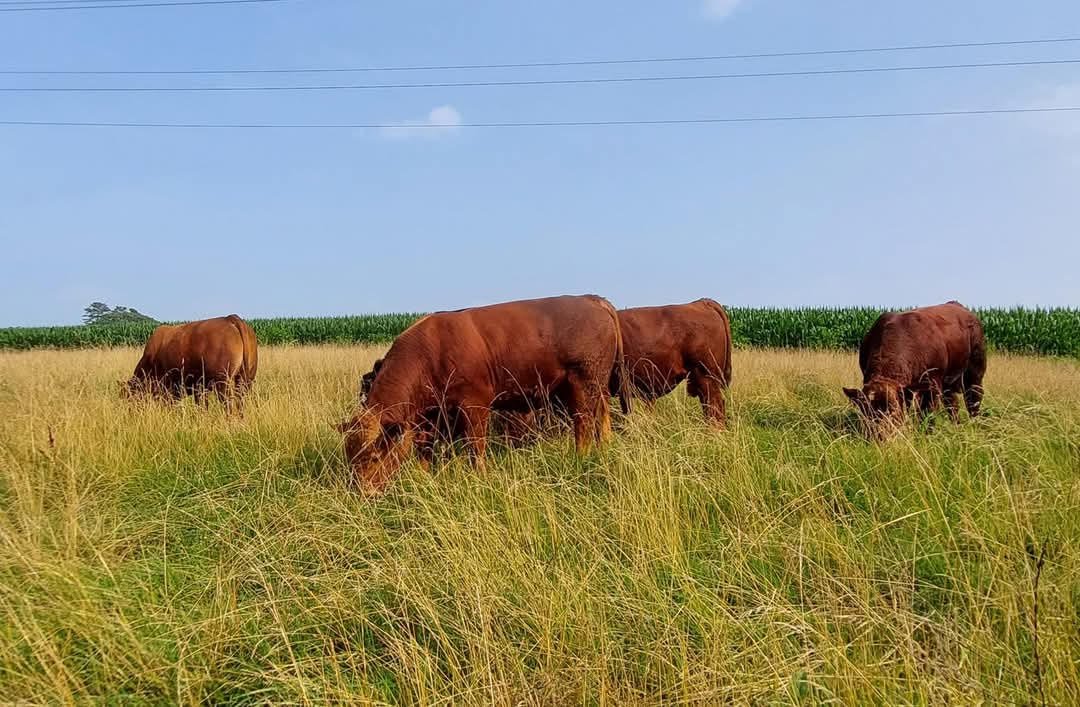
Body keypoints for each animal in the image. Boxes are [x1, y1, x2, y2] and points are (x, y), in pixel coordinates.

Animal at [124, 314, 258, 413]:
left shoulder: (167, 388)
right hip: (245, 380)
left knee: (229, 407)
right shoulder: (199, 387)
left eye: (129, 396)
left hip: (223, 382)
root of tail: (230, 318)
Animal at [338, 295, 631, 494]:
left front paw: (479, 478)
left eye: (374, 457)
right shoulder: (428, 418)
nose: (362, 493)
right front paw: (424, 479)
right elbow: (424, 452)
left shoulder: (474, 406)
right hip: (596, 387)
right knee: (601, 417)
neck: (429, 354)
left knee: (583, 424)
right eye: (349, 458)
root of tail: (589, 298)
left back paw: (579, 458)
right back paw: (604, 446)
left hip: (582, 383)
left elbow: (475, 448)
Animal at [843, 301, 986, 438]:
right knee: (952, 403)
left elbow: (926, 414)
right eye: (865, 411)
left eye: (893, 410)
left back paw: (975, 423)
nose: (879, 436)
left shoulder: (931, 385)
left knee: (973, 398)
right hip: (948, 382)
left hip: (975, 370)